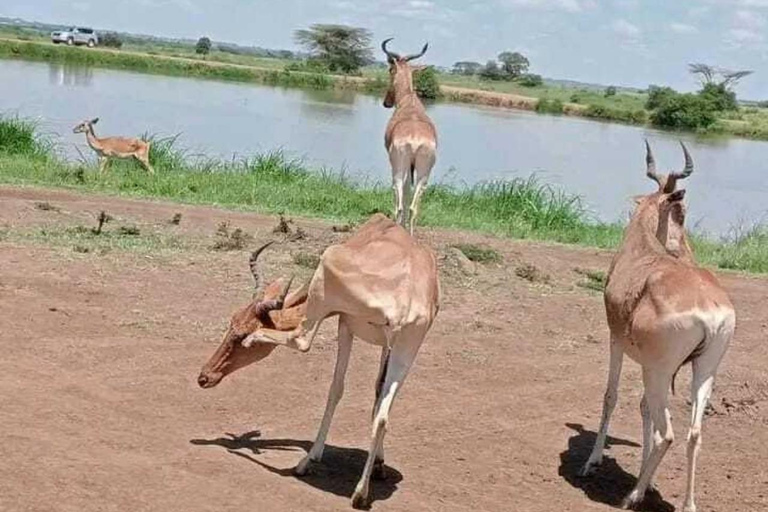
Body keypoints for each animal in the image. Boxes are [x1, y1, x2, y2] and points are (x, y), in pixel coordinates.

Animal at [196, 212, 438, 508]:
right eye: (231, 321)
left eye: (239, 332)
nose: (205, 377)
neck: (378, 233)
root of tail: (404, 298)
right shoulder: (388, 345)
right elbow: (378, 396)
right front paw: (379, 465)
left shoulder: (345, 323)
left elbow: (336, 389)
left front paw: (313, 456)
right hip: (408, 347)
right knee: (383, 414)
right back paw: (361, 493)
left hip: (332, 296)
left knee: (302, 339)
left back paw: (303, 464)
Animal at [380, 38, 436, 234]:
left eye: (390, 69)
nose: (386, 102)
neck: (409, 102)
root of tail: (415, 139)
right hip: (424, 171)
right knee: (413, 206)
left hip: (399, 166)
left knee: (399, 201)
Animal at [584, 141, 736, 512]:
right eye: (681, 212)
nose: (687, 251)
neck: (640, 249)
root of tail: (708, 306)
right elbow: (643, 411)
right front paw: (648, 479)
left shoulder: (616, 341)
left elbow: (611, 396)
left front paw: (592, 462)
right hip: (703, 370)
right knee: (693, 432)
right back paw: (688, 504)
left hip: (658, 370)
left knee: (667, 432)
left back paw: (631, 496)